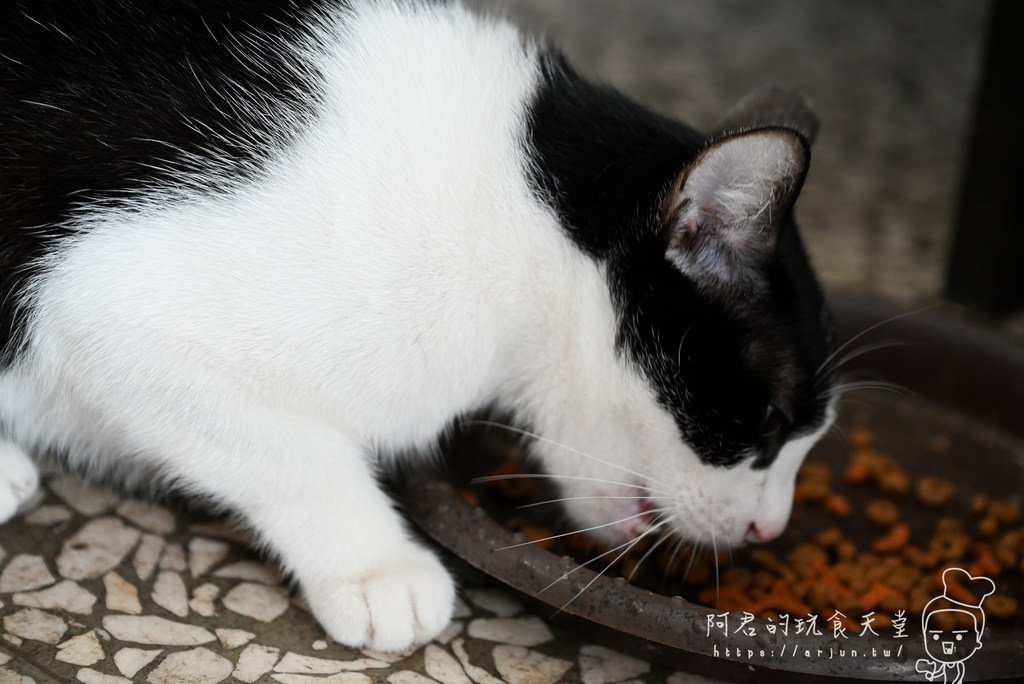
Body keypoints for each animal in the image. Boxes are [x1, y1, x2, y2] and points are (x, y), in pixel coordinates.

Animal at [0, 0, 831, 651]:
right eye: (769, 420)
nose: (770, 528)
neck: (512, 211)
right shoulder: (103, 300)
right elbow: (294, 456)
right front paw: (378, 566)